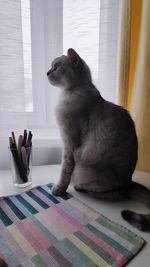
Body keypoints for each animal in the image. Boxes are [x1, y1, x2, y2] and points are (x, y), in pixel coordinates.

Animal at [47, 48, 150, 232]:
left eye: (56, 67)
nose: (47, 72)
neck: (72, 91)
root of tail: (129, 182)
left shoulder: (69, 143)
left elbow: (64, 169)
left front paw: (58, 189)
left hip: (82, 170)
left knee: (112, 194)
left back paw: (79, 188)